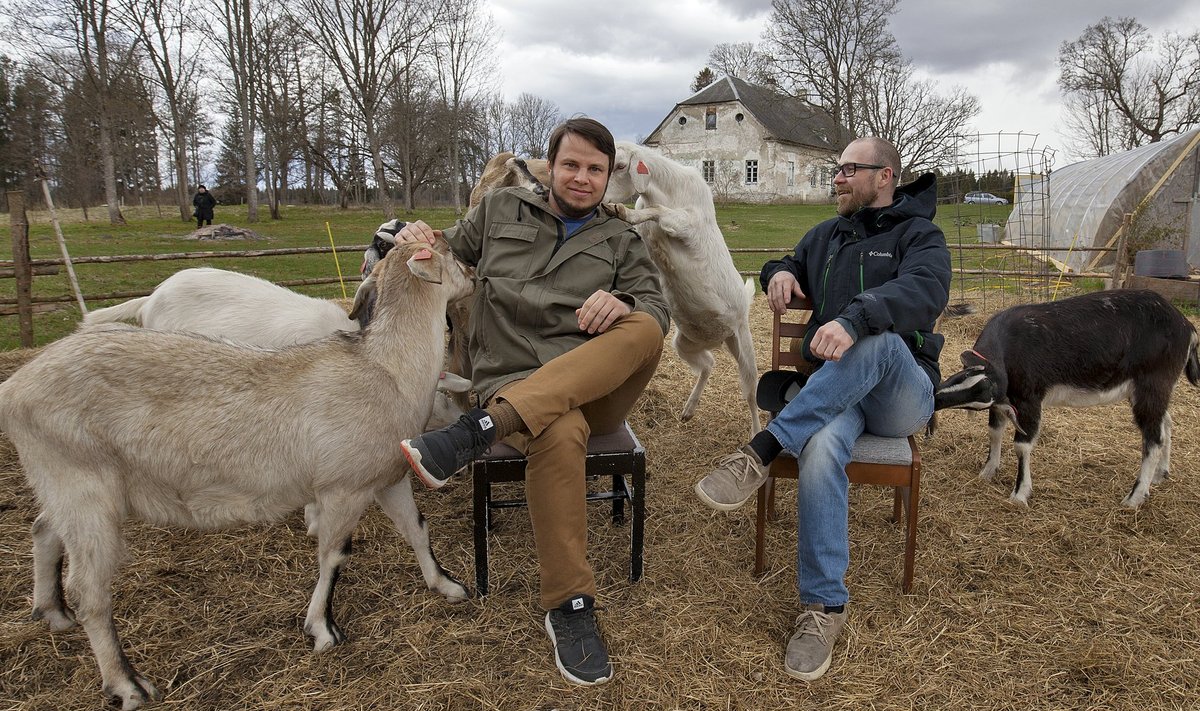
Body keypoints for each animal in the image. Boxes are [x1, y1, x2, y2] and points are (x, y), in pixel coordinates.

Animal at [1, 241, 477, 706]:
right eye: (452, 254)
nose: (474, 273)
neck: (388, 368)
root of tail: (15, 385)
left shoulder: (386, 477)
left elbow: (417, 528)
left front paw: (447, 585)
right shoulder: (343, 487)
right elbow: (334, 556)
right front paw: (322, 629)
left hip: (63, 483)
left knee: (44, 529)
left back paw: (51, 612)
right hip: (82, 485)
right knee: (90, 592)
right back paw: (125, 684)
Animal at [600, 141, 758, 437]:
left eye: (619, 165)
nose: (600, 198)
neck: (666, 189)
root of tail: (719, 339)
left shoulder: (689, 225)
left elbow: (660, 211)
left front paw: (623, 211)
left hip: (743, 342)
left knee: (751, 392)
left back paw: (755, 432)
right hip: (684, 343)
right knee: (708, 364)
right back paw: (688, 410)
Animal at [936, 285, 1200, 509]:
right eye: (960, 376)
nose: (936, 398)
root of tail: (1187, 326)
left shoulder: (1029, 399)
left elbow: (1022, 445)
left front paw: (1020, 493)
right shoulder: (1005, 402)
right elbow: (994, 431)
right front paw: (988, 471)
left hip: (1151, 385)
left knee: (1153, 439)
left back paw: (1134, 498)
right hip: (1155, 391)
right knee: (1166, 423)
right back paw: (1161, 474)